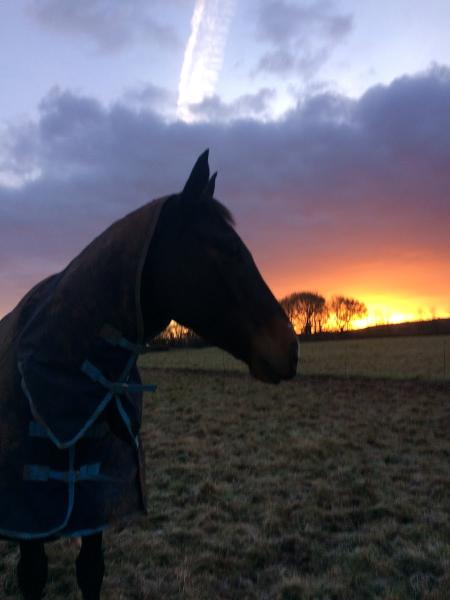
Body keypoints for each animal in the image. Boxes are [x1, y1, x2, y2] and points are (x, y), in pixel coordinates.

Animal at [0, 151, 298, 600]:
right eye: (227, 248)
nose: (290, 349)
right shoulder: (28, 520)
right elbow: (33, 576)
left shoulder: (94, 509)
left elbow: (91, 571)